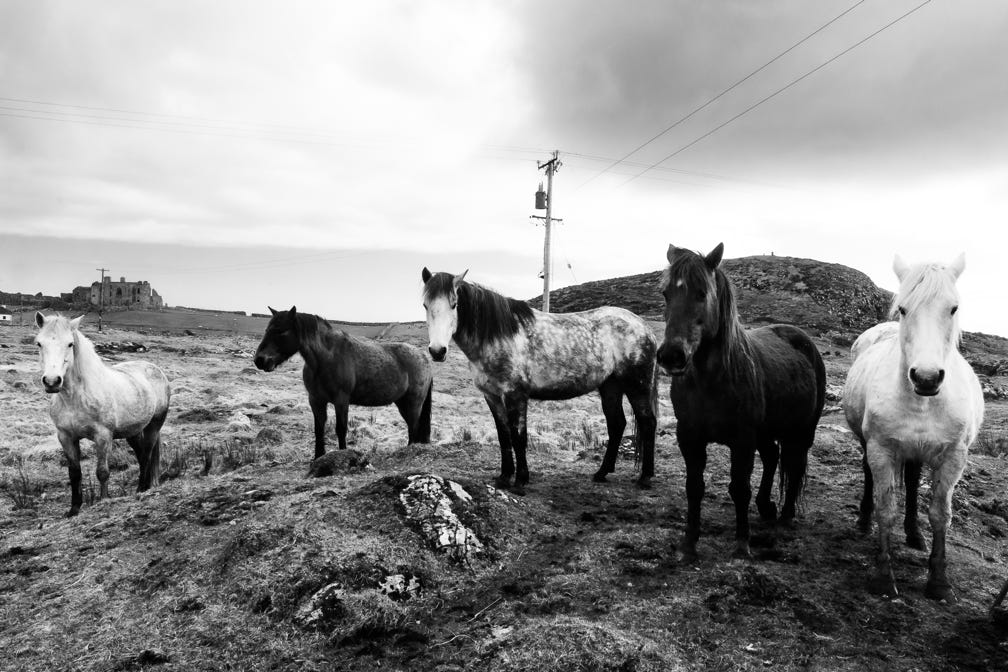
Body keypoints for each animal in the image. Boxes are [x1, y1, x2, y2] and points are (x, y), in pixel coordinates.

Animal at [35, 312, 171, 519]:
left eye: (70, 344)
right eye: (39, 344)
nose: (52, 382)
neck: (76, 398)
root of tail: (155, 369)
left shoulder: (103, 436)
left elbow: (102, 472)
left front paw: (103, 501)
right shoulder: (66, 437)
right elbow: (74, 473)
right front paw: (74, 509)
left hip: (154, 426)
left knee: (147, 455)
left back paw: (141, 489)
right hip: (133, 432)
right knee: (141, 456)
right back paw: (145, 486)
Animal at [254, 306, 431, 457]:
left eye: (281, 331)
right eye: (267, 330)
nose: (260, 360)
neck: (326, 358)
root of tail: (423, 358)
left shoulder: (341, 401)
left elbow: (341, 429)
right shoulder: (316, 401)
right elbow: (319, 429)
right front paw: (318, 458)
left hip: (413, 403)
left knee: (413, 427)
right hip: (402, 403)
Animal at [653, 242, 826, 564]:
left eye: (702, 293)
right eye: (666, 294)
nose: (671, 356)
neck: (711, 381)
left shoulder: (742, 439)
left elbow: (739, 488)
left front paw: (742, 544)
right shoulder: (690, 436)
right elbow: (694, 487)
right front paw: (688, 544)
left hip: (801, 432)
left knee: (794, 465)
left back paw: (785, 515)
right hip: (767, 432)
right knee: (772, 458)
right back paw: (767, 506)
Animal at [842, 254, 983, 600]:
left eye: (953, 308)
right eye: (904, 309)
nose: (927, 378)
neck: (924, 402)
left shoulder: (954, 458)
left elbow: (940, 514)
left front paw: (939, 581)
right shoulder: (881, 450)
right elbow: (886, 508)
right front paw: (883, 576)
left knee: (913, 479)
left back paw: (914, 533)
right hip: (870, 445)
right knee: (869, 477)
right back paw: (863, 521)